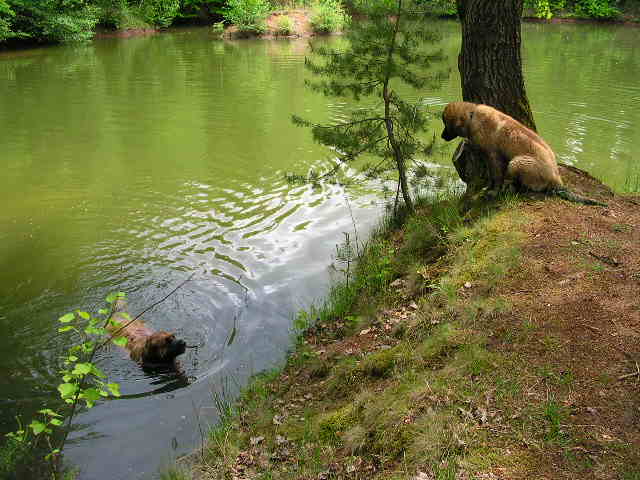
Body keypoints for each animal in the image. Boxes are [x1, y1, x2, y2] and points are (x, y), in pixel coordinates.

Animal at [440, 100, 604, 205]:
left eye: (445, 124)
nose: (442, 136)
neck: (472, 116)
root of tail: (557, 180)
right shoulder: (490, 157)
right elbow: (493, 177)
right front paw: (489, 188)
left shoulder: (494, 157)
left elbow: (497, 176)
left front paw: (493, 192)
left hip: (516, 162)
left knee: (526, 186)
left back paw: (513, 188)